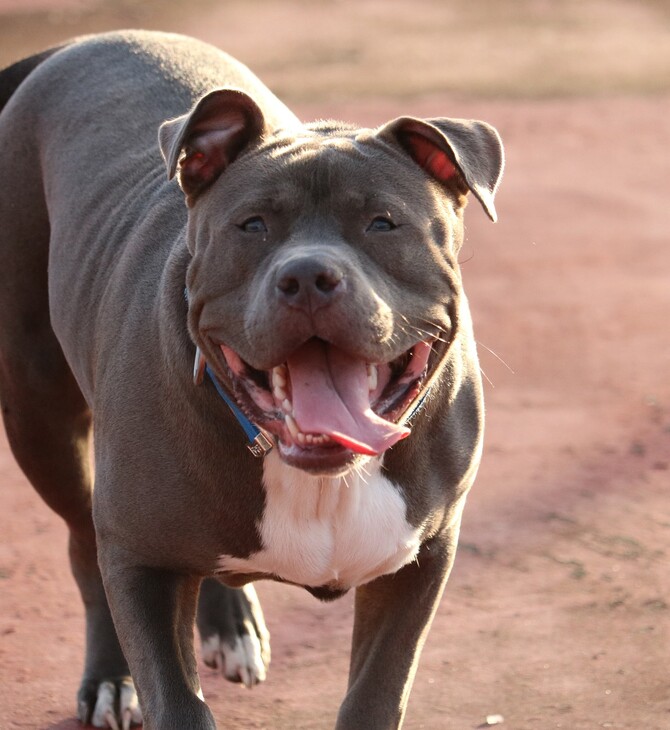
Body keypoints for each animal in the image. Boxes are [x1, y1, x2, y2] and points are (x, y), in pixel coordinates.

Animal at [0, 29, 504, 728]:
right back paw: (110, 678)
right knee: (81, 540)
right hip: (39, 412)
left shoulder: (420, 560)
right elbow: (177, 700)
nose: (309, 275)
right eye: (253, 225)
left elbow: (378, 692)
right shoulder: (139, 559)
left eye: (383, 222)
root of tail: (77, 42)